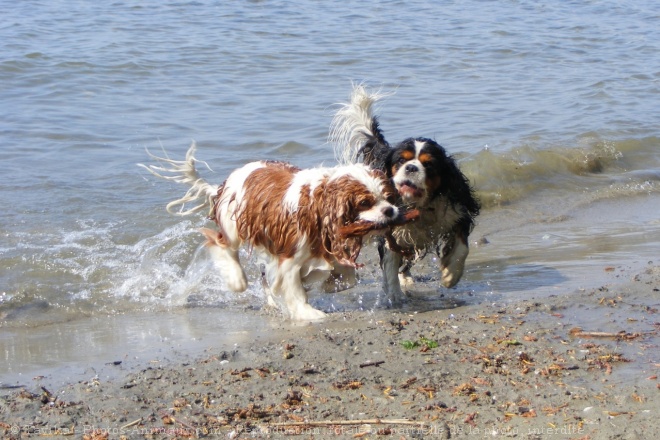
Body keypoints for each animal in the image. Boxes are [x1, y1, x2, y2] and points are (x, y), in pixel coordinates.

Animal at [142, 144, 416, 320]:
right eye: (364, 203)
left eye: (389, 197)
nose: (390, 211)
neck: (319, 204)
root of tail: (226, 182)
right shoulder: (289, 258)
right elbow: (294, 289)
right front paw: (307, 313)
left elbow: (346, 279)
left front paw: (327, 285)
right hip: (233, 228)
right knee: (222, 247)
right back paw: (236, 279)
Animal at [330, 85, 480, 306]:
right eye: (401, 160)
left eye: (428, 164)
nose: (411, 167)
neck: (419, 206)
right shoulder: (390, 232)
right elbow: (390, 264)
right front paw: (394, 295)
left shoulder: (458, 214)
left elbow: (462, 248)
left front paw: (450, 275)